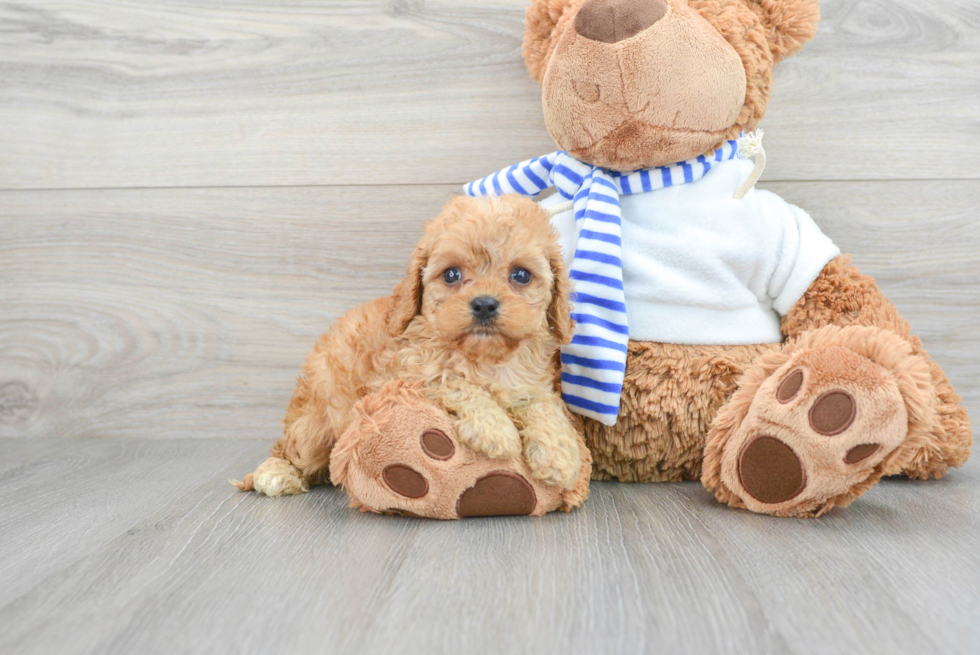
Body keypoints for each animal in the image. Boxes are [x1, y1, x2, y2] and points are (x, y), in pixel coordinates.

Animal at [235, 195, 588, 502]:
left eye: (521, 275)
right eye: (451, 274)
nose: (485, 305)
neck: (485, 357)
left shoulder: (533, 384)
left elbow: (545, 405)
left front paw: (560, 457)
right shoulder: (404, 375)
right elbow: (454, 381)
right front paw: (495, 431)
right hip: (315, 425)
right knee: (289, 449)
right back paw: (275, 474)